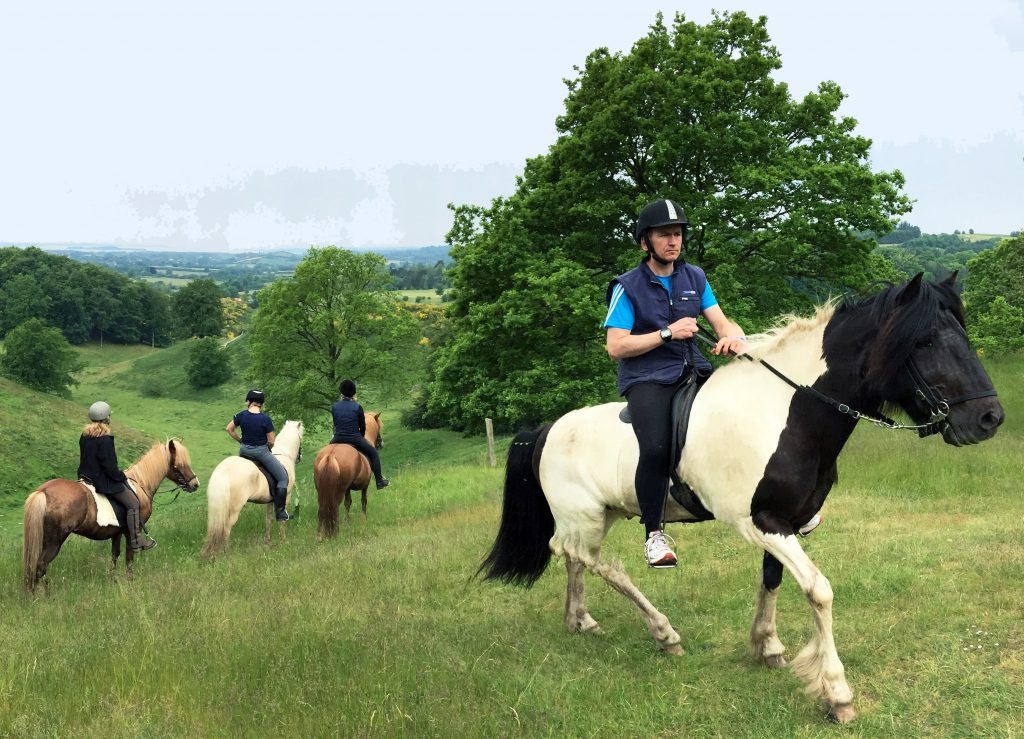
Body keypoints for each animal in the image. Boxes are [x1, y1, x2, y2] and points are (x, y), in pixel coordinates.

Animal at [23, 440, 198, 589]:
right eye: (179, 465)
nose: (195, 484)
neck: (140, 485)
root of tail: (43, 491)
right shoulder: (130, 532)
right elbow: (129, 557)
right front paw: (130, 581)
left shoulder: (117, 532)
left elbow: (115, 555)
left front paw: (112, 580)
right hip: (55, 541)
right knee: (41, 565)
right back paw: (45, 596)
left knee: (35, 566)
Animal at [201, 417, 301, 556]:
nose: (299, 458)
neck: (284, 455)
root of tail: (224, 470)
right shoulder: (286, 496)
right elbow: (281, 519)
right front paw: (283, 540)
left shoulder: (271, 500)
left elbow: (268, 520)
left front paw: (267, 541)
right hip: (235, 508)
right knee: (226, 528)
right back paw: (226, 551)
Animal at [479, 270, 999, 720]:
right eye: (924, 341)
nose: (989, 419)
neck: (784, 412)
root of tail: (547, 430)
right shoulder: (761, 522)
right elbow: (819, 591)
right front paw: (836, 692)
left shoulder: (785, 521)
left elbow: (772, 580)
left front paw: (767, 646)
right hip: (585, 516)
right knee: (596, 561)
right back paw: (663, 632)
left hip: (598, 515)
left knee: (571, 555)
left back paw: (580, 620)